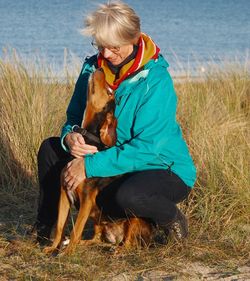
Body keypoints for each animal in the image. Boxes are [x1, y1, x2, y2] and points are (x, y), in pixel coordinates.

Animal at [43, 67, 152, 254]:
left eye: (109, 92)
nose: (100, 68)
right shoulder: (64, 193)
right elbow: (59, 226)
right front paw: (53, 247)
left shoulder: (86, 200)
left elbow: (76, 230)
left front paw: (67, 254)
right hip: (99, 222)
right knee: (97, 239)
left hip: (133, 218)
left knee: (128, 243)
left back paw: (118, 251)